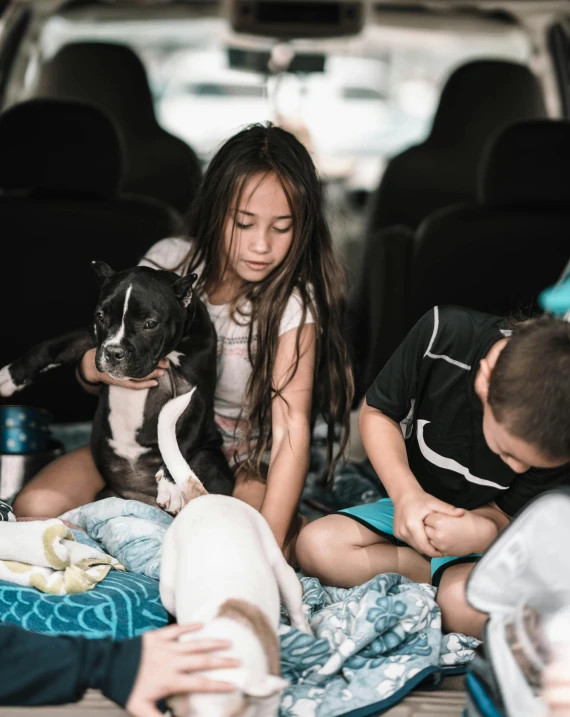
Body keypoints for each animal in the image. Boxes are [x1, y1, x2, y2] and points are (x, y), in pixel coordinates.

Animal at [0, 262, 233, 510]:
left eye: (150, 324)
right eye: (100, 317)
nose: (113, 351)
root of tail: (142, 499)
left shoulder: (195, 395)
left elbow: (181, 441)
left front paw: (170, 486)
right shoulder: (91, 338)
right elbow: (55, 345)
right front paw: (11, 376)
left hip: (210, 463)